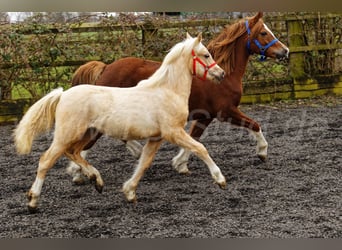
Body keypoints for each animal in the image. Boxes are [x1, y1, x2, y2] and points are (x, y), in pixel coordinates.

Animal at [14, 33, 227, 212]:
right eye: (206, 55)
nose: (221, 74)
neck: (167, 91)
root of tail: (63, 94)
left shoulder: (156, 138)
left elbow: (144, 162)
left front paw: (130, 192)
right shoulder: (173, 132)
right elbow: (200, 148)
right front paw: (220, 179)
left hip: (87, 133)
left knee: (73, 152)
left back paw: (96, 180)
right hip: (67, 134)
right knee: (46, 160)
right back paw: (33, 201)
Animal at [67, 11, 288, 184]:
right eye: (263, 32)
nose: (284, 51)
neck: (223, 75)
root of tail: (106, 68)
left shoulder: (206, 115)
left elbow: (194, 137)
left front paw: (180, 164)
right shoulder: (226, 111)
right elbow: (255, 125)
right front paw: (262, 152)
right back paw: (80, 171)